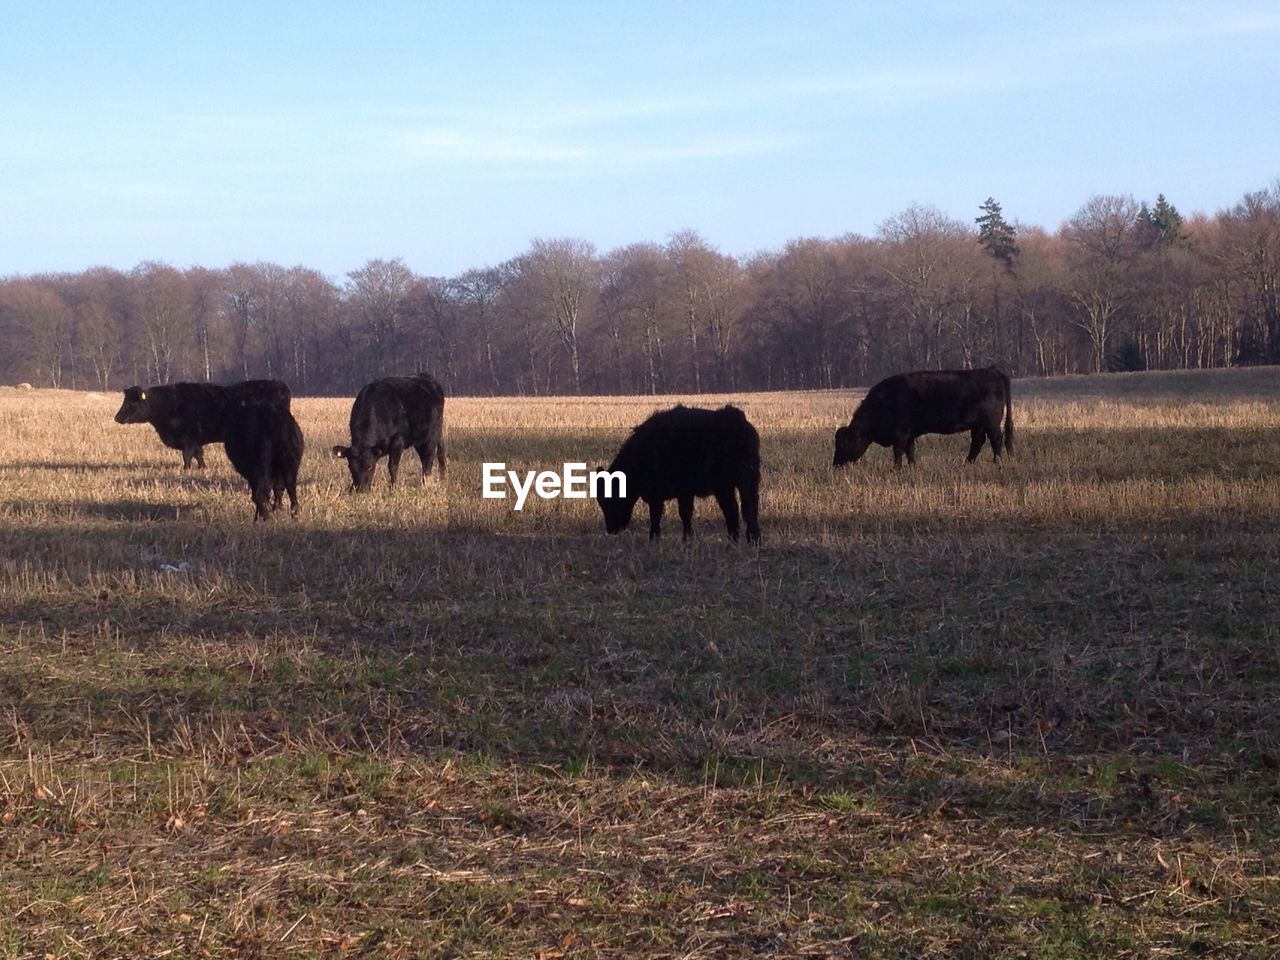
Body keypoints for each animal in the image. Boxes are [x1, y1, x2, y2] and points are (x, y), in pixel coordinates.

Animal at [112, 384, 293, 473]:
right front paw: (202, 468)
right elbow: (198, 455)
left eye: (132, 402)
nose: (117, 417)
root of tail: (280, 386)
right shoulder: (195, 441)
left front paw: (186, 470)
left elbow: (187, 456)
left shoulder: (188, 439)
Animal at [596, 401, 757, 545]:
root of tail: (735, 418)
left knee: (733, 509)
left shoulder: (662, 494)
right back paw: (752, 540)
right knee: (749, 507)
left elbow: (663, 516)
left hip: (724, 486)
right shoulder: (683, 493)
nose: (611, 529)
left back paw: (735, 541)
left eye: (609, 498)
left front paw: (658, 539)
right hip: (748, 480)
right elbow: (683, 515)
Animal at [834, 363, 1013, 471]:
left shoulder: (901, 434)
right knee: (977, 442)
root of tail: (992, 370)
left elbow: (898, 451)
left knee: (996, 439)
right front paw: (912, 466)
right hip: (978, 425)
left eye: (844, 443)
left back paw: (997, 462)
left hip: (991, 423)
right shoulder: (909, 434)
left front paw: (896, 469)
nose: (835, 465)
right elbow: (910, 451)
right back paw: (967, 463)